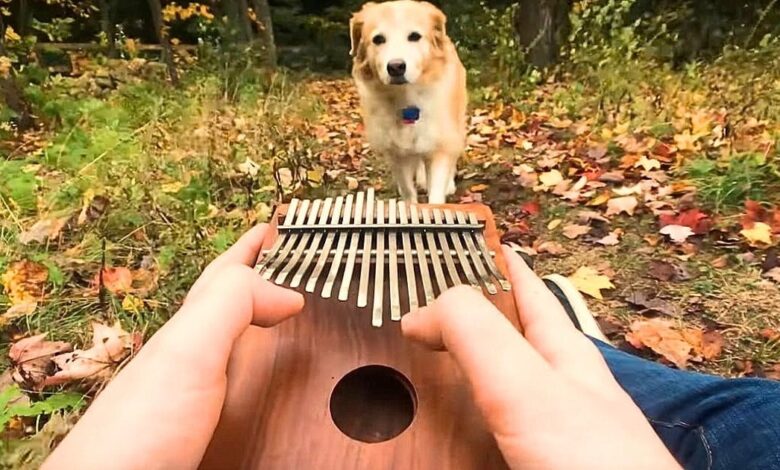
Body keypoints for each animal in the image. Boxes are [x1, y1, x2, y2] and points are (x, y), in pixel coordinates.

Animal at [350, 1, 466, 204]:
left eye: (414, 36)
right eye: (378, 39)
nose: (396, 67)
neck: (406, 102)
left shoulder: (440, 146)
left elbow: (436, 194)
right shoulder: (396, 154)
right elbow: (407, 191)